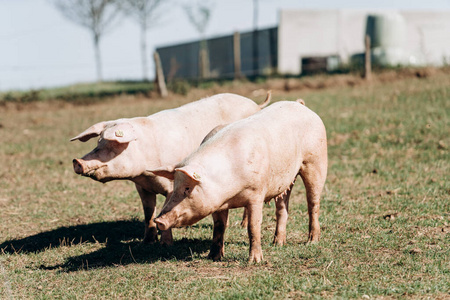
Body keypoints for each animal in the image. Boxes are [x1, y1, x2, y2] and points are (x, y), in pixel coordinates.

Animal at [69, 92, 268, 245]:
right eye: (98, 142)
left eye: (113, 144)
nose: (77, 161)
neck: (145, 172)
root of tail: (255, 104)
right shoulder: (142, 187)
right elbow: (148, 213)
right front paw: (148, 242)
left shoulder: (171, 185)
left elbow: (165, 207)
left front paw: (166, 244)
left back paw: (242, 225)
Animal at [150, 99, 326, 262]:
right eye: (175, 186)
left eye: (187, 188)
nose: (158, 220)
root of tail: (300, 105)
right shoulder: (217, 202)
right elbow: (219, 226)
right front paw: (213, 257)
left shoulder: (257, 193)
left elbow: (253, 226)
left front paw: (255, 261)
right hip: (286, 180)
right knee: (282, 207)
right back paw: (278, 243)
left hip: (316, 161)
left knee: (313, 203)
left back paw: (312, 241)